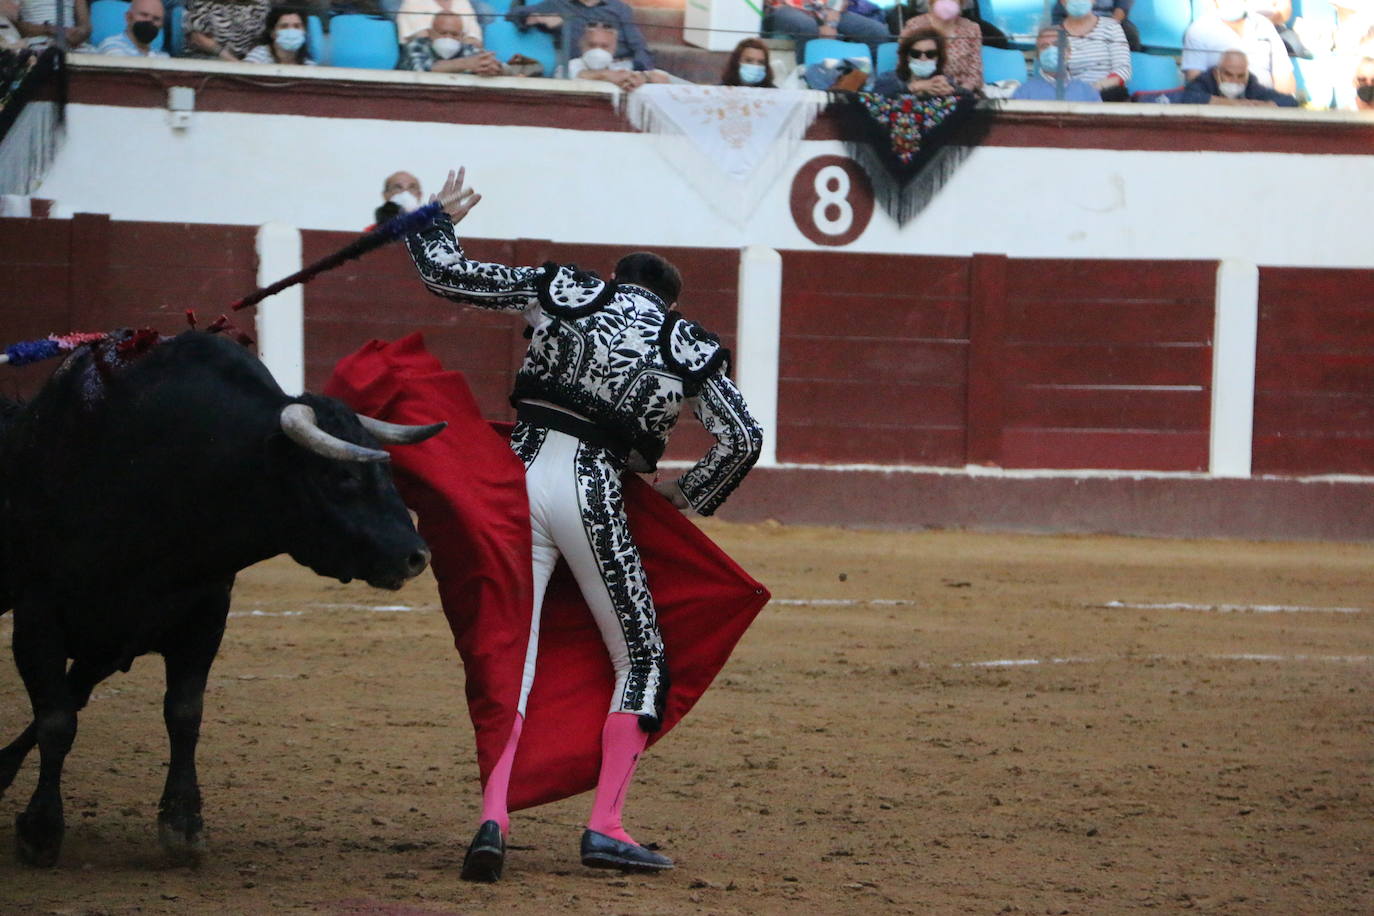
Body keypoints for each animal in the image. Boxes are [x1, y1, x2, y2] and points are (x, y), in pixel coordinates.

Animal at [0, 330, 439, 867]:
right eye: (344, 478)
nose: (417, 556)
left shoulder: (201, 616)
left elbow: (183, 713)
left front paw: (182, 824)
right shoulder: (37, 615)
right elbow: (57, 720)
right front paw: (40, 830)